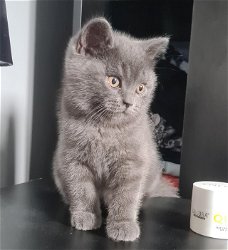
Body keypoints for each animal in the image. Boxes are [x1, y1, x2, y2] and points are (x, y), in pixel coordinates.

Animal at [52, 16, 177, 241]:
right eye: (113, 81)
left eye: (141, 88)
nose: (129, 103)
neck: (105, 128)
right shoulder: (73, 158)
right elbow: (81, 188)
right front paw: (85, 215)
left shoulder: (133, 162)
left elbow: (126, 195)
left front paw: (123, 225)